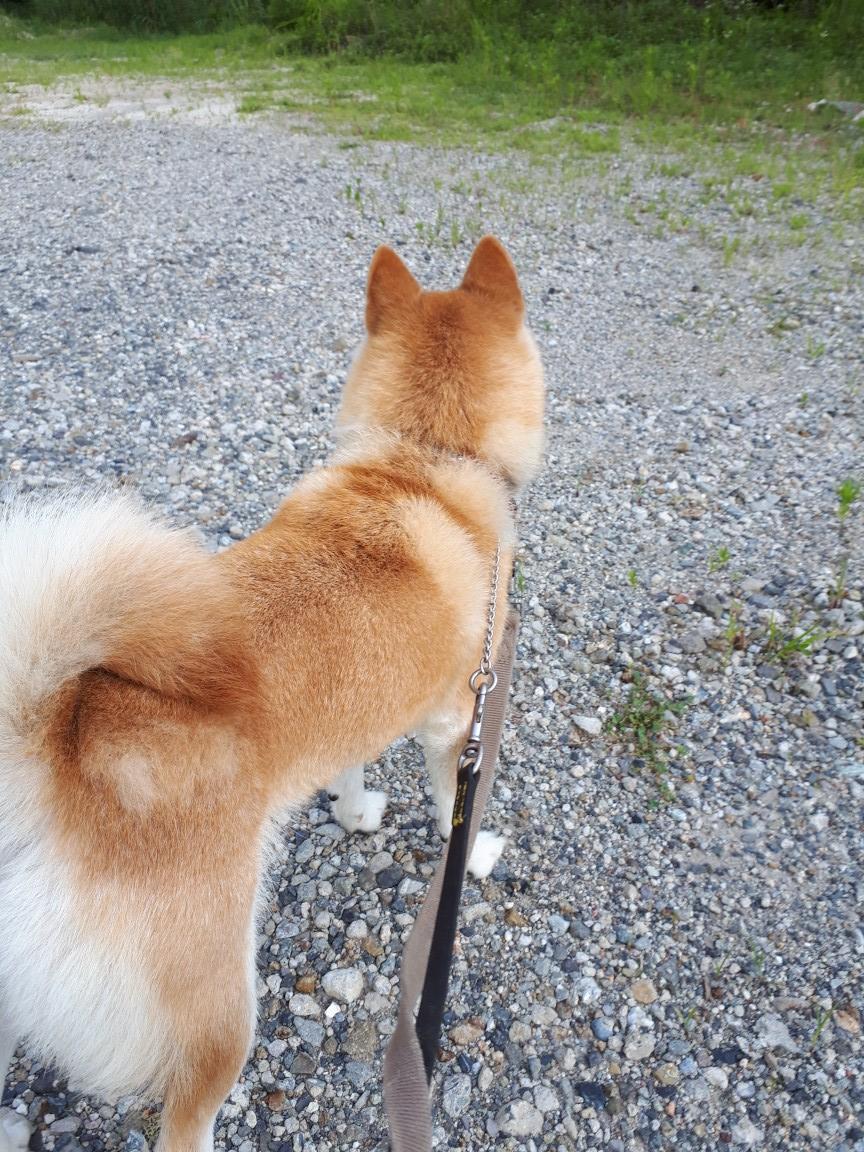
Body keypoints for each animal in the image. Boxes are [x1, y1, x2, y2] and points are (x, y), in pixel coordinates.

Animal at [0, 236, 544, 1152]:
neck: (424, 455)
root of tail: (66, 747)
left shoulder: (362, 708)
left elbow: (351, 771)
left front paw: (355, 814)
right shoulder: (456, 725)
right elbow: (454, 809)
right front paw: (470, 851)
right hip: (222, 1007)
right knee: (187, 1120)